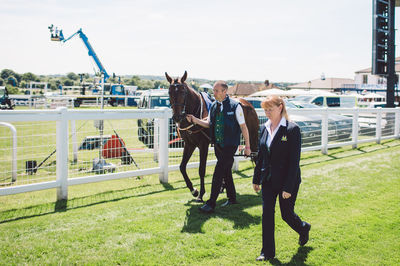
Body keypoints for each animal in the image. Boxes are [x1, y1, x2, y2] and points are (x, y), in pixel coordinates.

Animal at [166, 70, 260, 202]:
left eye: (183, 91)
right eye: (169, 92)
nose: (177, 117)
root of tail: (248, 104)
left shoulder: (203, 144)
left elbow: (201, 169)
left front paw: (200, 194)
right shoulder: (189, 144)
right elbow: (182, 167)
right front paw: (193, 190)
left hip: (252, 136)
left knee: (255, 155)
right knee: (227, 161)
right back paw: (223, 187)